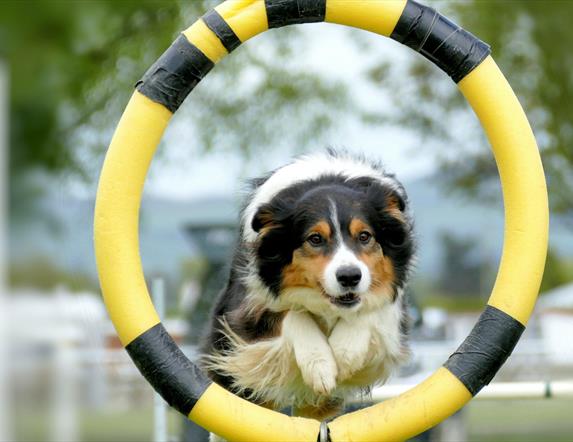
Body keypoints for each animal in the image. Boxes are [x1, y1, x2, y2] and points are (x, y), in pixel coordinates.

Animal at [199, 150, 414, 420]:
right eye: (315, 239)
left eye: (365, 236)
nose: (350, 277)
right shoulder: (247, 311)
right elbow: (292, 314)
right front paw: (321, 366)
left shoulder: (391, 309)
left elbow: (371, 310)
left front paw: (342, 355)